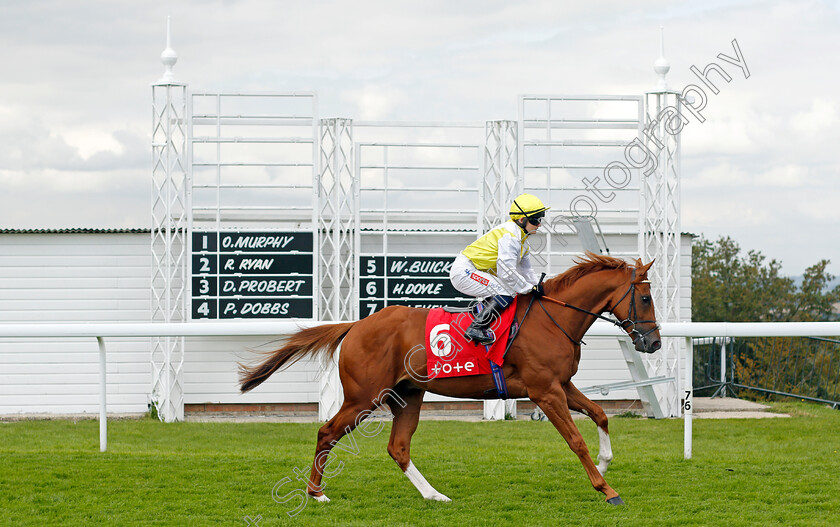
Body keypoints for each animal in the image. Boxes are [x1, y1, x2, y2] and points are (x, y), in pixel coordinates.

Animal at [240, 255, 660, 508]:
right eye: (645, 299)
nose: (653, 342)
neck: (552, 319)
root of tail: (357, 325)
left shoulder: (562, 386)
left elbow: (600, 414)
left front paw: (605, 463)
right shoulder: (545, 391)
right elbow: (575, 439)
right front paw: (607, 490)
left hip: (408, 396)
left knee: (398, 447)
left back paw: (434, 495)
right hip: (364, 398)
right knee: (327, 432)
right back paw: (316, 493)